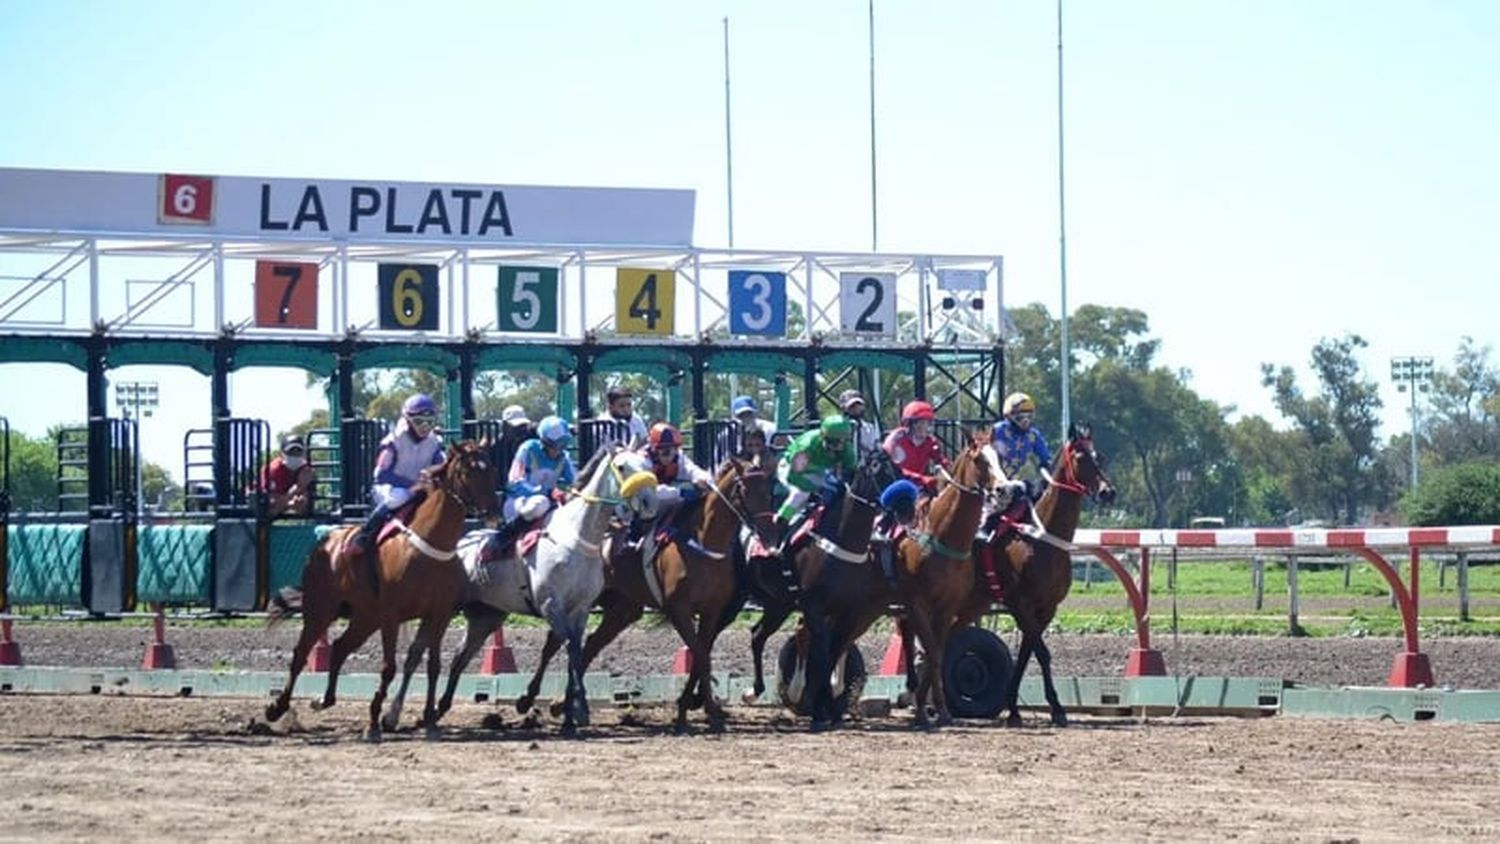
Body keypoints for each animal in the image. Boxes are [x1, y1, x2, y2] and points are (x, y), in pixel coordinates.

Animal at [267, 440, 501, 743]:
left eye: (491, 469)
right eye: (468, 471)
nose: (495, 514)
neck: (429, 546)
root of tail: (325, 543)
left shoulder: (438, 614)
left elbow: (434, 666)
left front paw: (429, 722)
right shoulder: (391, 615)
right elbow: (388, 668)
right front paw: (374, 723)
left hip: (365, 616)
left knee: (340, 647)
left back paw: (324, 700)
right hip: (320, 609)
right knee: (300, 655)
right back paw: (277, 707)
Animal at [384, 446, 654, 737]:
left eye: (647, 463)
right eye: (622, 466)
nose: (649, 501)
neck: (576, 538)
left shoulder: (580, 609)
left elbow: (574, 650)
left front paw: (564, 712)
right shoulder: (550, 603)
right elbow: (569, 649)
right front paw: (573, 709)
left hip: (486, 617)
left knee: (459, 657)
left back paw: (439, 708)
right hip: (446, 610)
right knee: (422, 651)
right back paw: (399, 715)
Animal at [519, 455, 774, 734]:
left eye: (770, 489)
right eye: (745, 490)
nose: (769, 533)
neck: (703, 544)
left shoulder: (711, 611)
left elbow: (702, 656)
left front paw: (697, 709)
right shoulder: (679, 609)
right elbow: (700, 655)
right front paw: (698, 713)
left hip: (622, 609)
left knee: (589, 646)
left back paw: (563, 704)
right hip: (575, 600)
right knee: (554, 644)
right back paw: (528, 700)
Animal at [888, 434, 996, 725]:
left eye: (998, 456)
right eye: (979, 459)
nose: (1002, 488)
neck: (941, 535)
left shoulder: (947, 606)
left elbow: (935, 653)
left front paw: (936, 709)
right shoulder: (918, 602)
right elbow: (933, 653)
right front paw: (926, 710)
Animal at [960, 422, 1116, 725]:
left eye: (1100, 456)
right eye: (1080, 457)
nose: (1108, 492)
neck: (1042, 538)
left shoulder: (1046, 607)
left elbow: (1026, 653)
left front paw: (1015, 706)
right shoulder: (1019, 603)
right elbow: (1041, 653)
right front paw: (1055, 707)